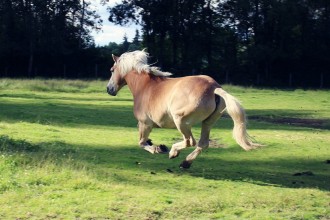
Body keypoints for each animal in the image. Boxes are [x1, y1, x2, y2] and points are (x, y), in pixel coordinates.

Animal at [105, 49, 260, 168]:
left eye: (112, 70)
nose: (109, 89)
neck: (145, 87)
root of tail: (214, 87)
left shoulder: (145, 124)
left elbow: (141, 143)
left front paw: (158, 148)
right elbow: (144, 141)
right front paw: (157, 146)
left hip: (181, 121)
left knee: (190, 141)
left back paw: (173, 152)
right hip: (208, 122)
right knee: (203, 143)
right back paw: (185, 163)